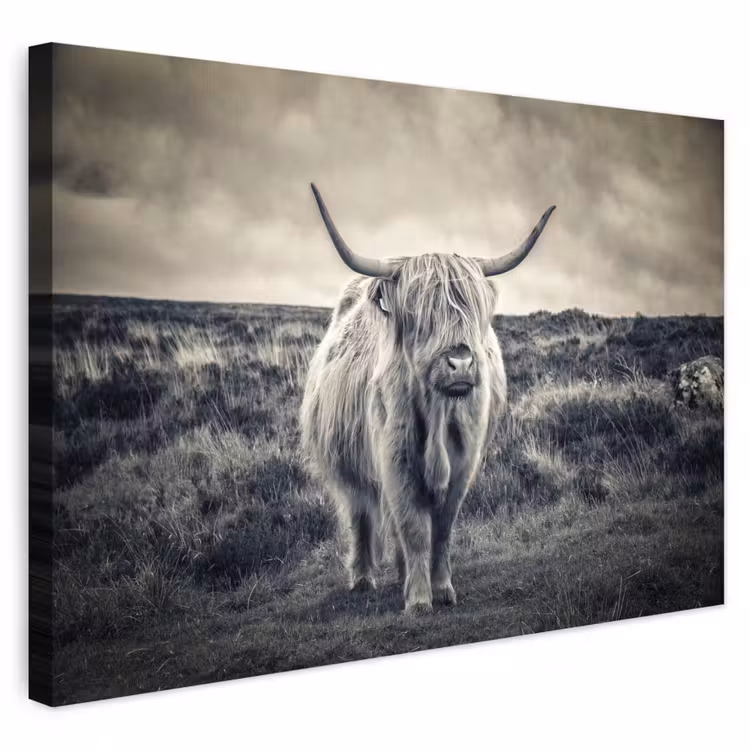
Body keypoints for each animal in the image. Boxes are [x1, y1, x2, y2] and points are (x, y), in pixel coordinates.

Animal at [300, 183, 555, 614]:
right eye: (420, 314)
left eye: (472, 310)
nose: (460, 362)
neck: (439, 413)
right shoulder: (395, 460)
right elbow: (414, 526)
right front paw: (419, 600)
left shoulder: (463, 462)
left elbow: (442, 528)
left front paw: (441, 588)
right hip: (349, 465)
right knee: (361, 515)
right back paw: (363, 578)